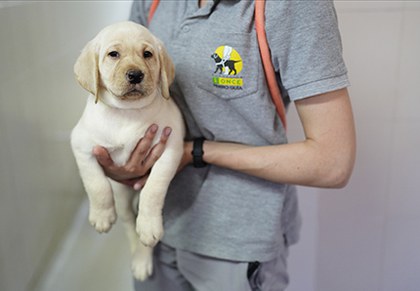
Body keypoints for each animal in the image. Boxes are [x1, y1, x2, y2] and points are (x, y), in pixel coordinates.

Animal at [70, 21, 184, 282]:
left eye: (147, 54)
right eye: (114, 54)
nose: (135, 75)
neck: (127, 112)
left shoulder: (170, 148)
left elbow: (154, 189)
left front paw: (149, 225)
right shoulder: (81, 145)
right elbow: (96, 184)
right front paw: (101, 216)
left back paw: (143, 254)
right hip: (122, 197)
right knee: (129, 222)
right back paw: (137, 254)